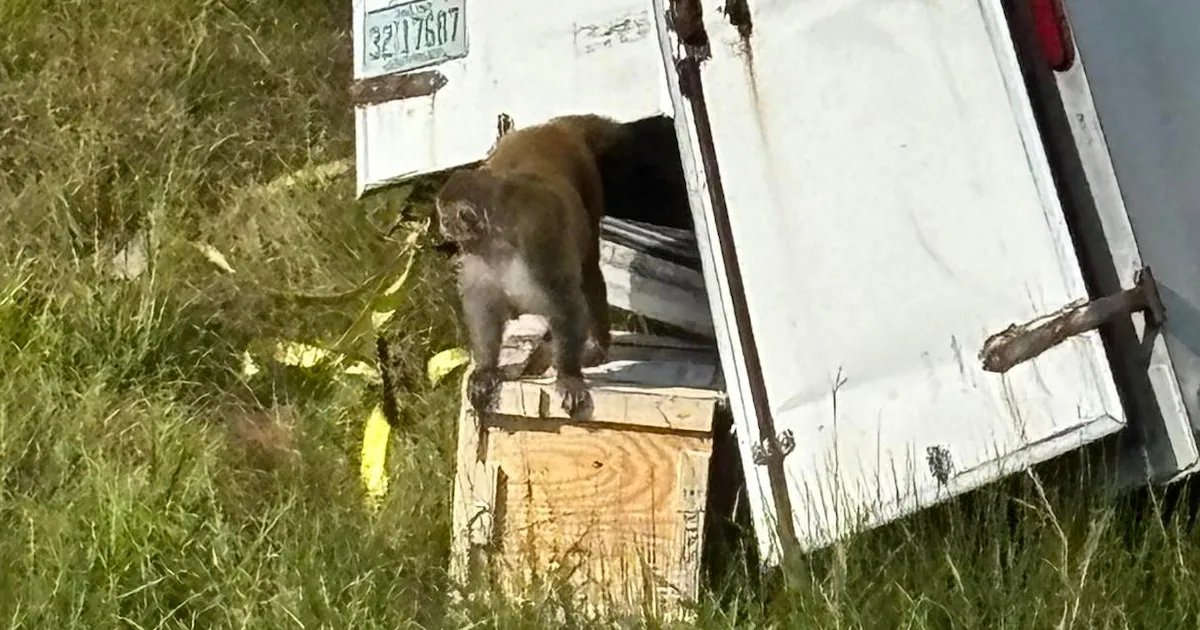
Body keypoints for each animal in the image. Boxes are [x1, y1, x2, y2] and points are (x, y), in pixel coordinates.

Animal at [436, 114, 620, 419]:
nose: (441, 227)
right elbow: (484, 306)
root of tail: (551, 127)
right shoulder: (477, 254)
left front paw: (569, 376)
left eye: (444, 217)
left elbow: (565, 301)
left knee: (589, 271)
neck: (498, 238)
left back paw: (597, 344)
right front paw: (486, 369)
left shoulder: (538, 239)